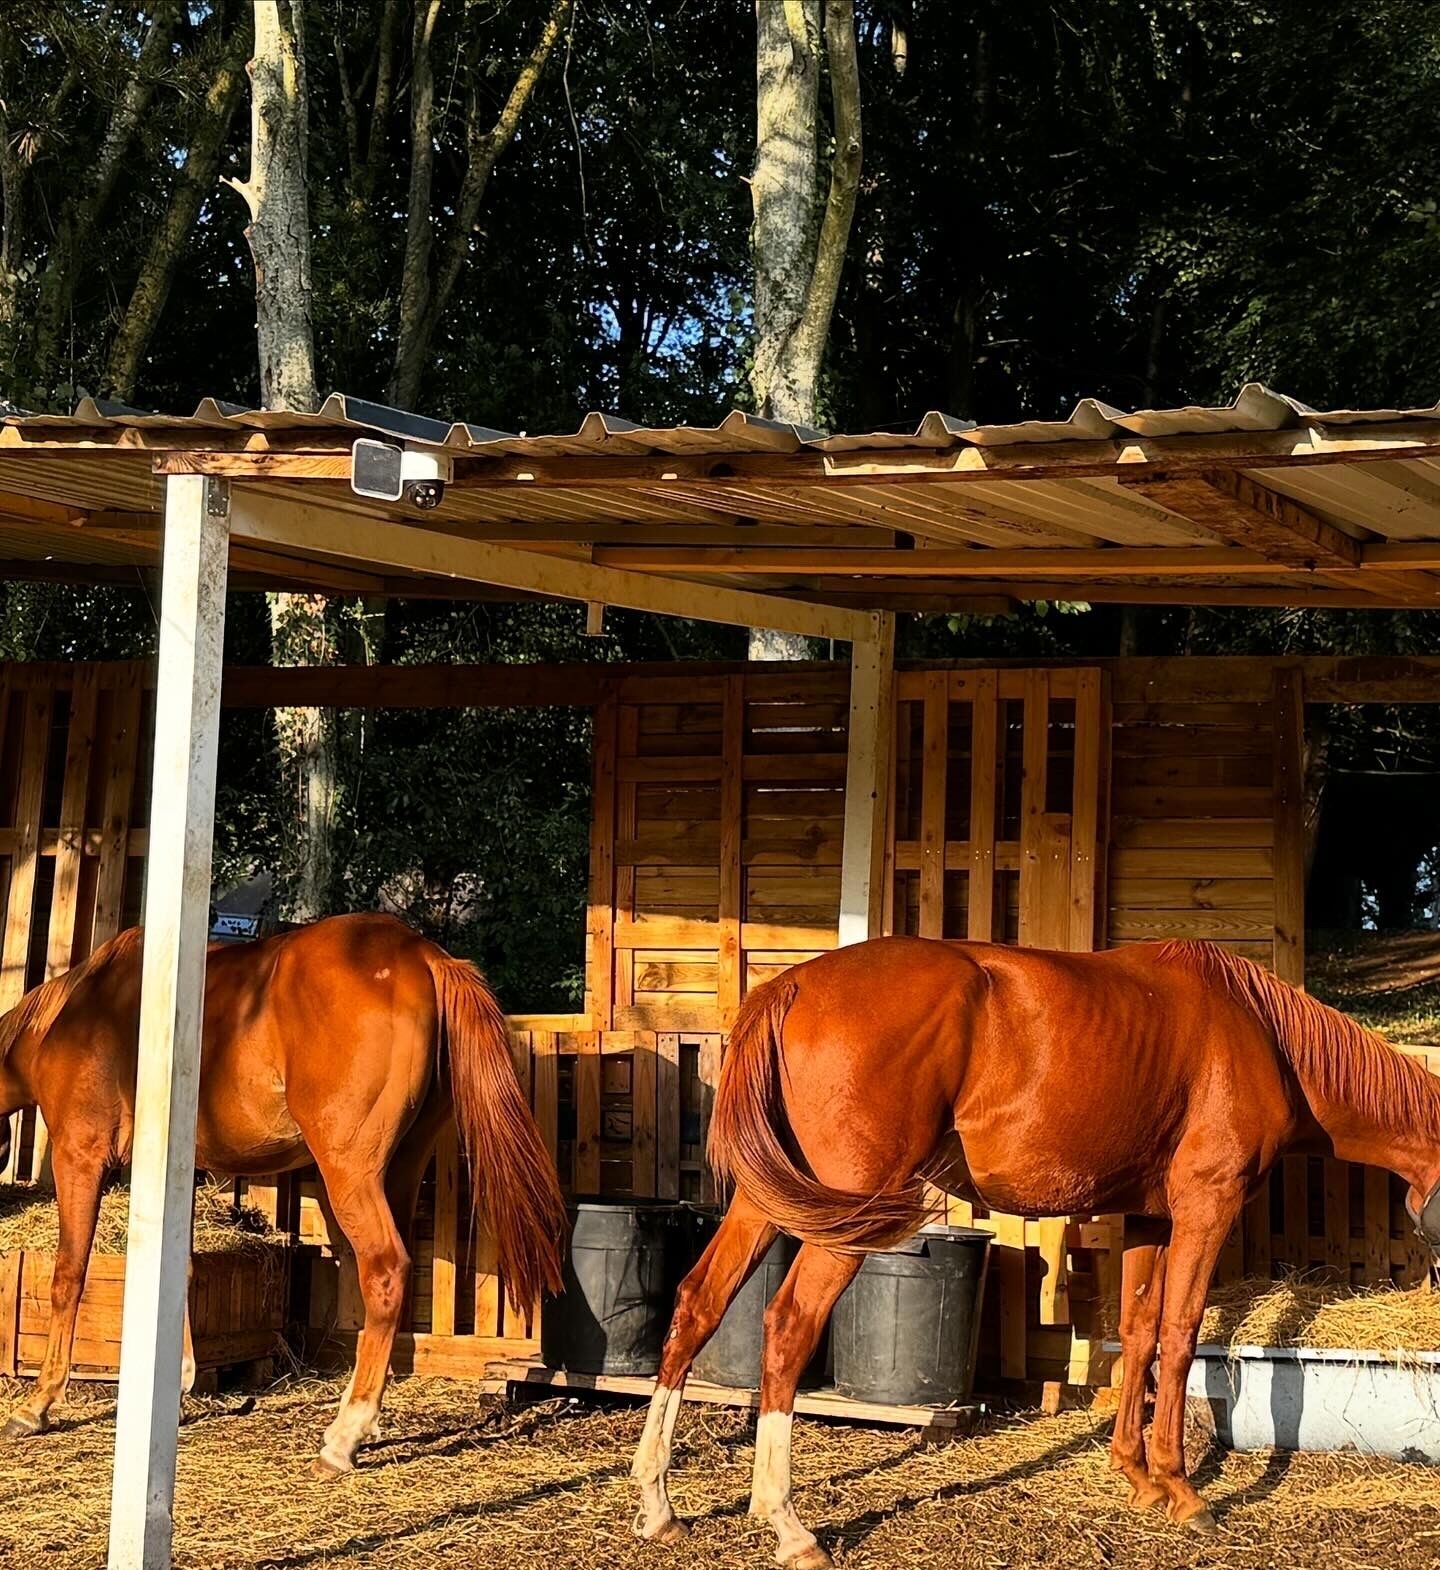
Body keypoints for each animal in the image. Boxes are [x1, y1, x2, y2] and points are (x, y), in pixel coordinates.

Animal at [0, 912, 567, 1475]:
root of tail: (421, 954)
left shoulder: (79, 1157)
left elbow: (68, 1276)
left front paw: (38, 1404)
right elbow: (179, 1271)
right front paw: (178, 1382)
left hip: (350, 1173)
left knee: (386, 1270)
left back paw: (344, 1437)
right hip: (401, 1168)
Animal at [630, 935, 1440, 1567]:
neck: (1257, 1032)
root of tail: (793, 985)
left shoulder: (1149, 1219)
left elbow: (1138, 1335)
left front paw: (1137, 1476)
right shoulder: (1206, 1207)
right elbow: (1180, 1336)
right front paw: (1182, 1490)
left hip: (769, 1203)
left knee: (699, 1304)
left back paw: (659, 1504)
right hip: (840, 1216)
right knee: (788, 1326)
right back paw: (789, 1525)